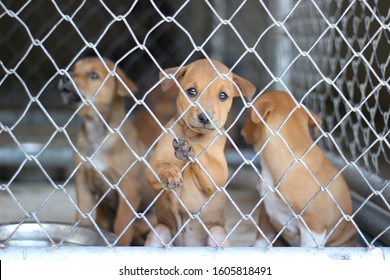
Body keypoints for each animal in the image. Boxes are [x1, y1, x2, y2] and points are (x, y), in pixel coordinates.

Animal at [58, 57, 152, 245]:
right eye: (74, 69)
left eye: (94, 75)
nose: (65, 76)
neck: (96, 131)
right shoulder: (83, 181)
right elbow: (83, 216)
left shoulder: (128, 187)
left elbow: (122, 225)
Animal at [143, 58, 256, 245]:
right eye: (192, 91)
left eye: (223, 95)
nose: (204, 117)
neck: (192, 134)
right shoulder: (153, 166)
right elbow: (161, 165)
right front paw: (170, 173)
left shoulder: (219, 174)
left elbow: (204, 154)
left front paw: (189, 148)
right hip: (159, 231)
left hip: (217, 233)